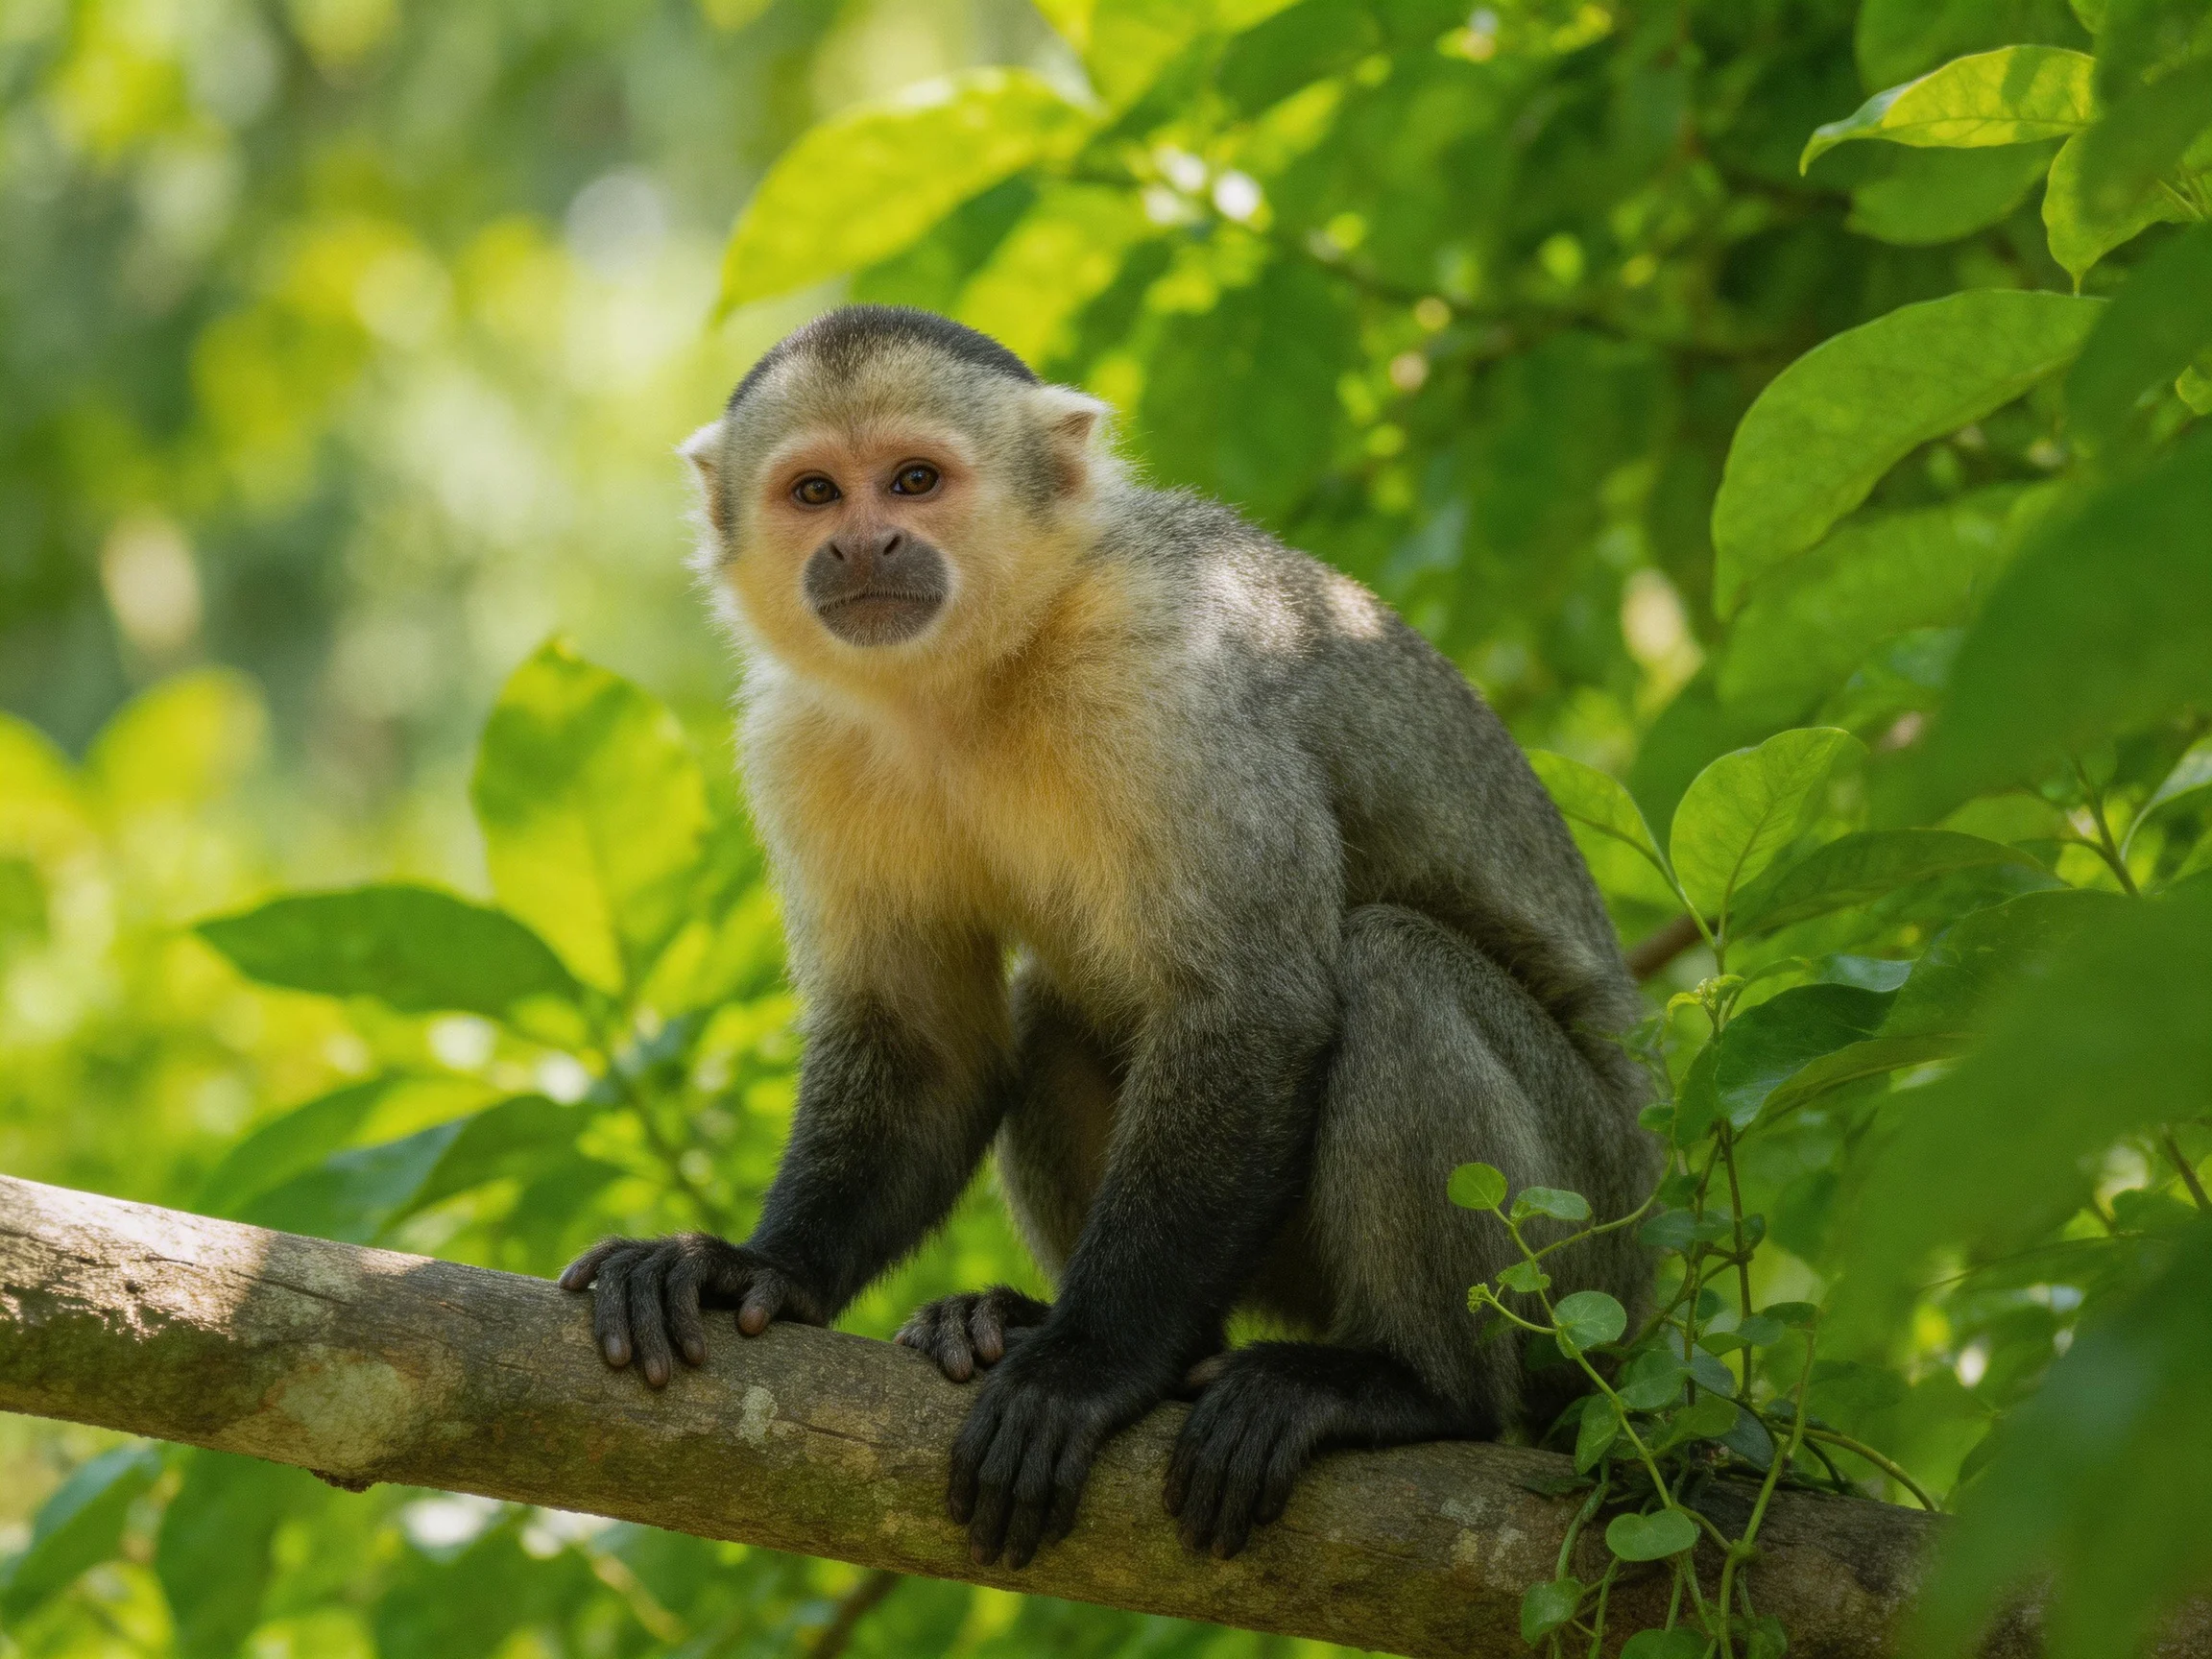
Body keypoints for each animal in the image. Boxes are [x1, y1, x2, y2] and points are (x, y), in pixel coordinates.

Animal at [558, 303, 1659, 1568]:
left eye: (916, 480)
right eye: (815, 492)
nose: (865, 545)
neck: (976, 674)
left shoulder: (1163, 668)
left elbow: (1252, 1006)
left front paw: (1087, 1368)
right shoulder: (805, 739)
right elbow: (926, 1042)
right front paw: (760, 1269)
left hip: (1590, 1244)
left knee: (1392, 971)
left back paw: (1412, 1388)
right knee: (1054, 1010)